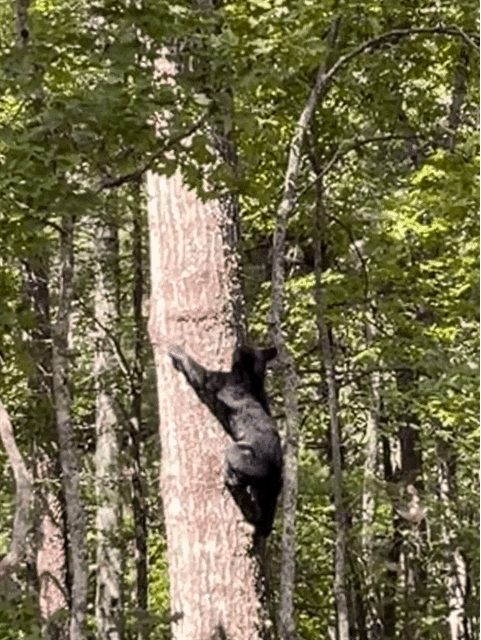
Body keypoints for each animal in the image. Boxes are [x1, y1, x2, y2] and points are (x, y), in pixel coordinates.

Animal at [168, 344, 283, 537]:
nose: (239, 345)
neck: (251, 379)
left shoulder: (217, 379)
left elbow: (198, 371)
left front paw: (177, 351)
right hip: (270, 489)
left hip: (240, 454)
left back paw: (231, 477)